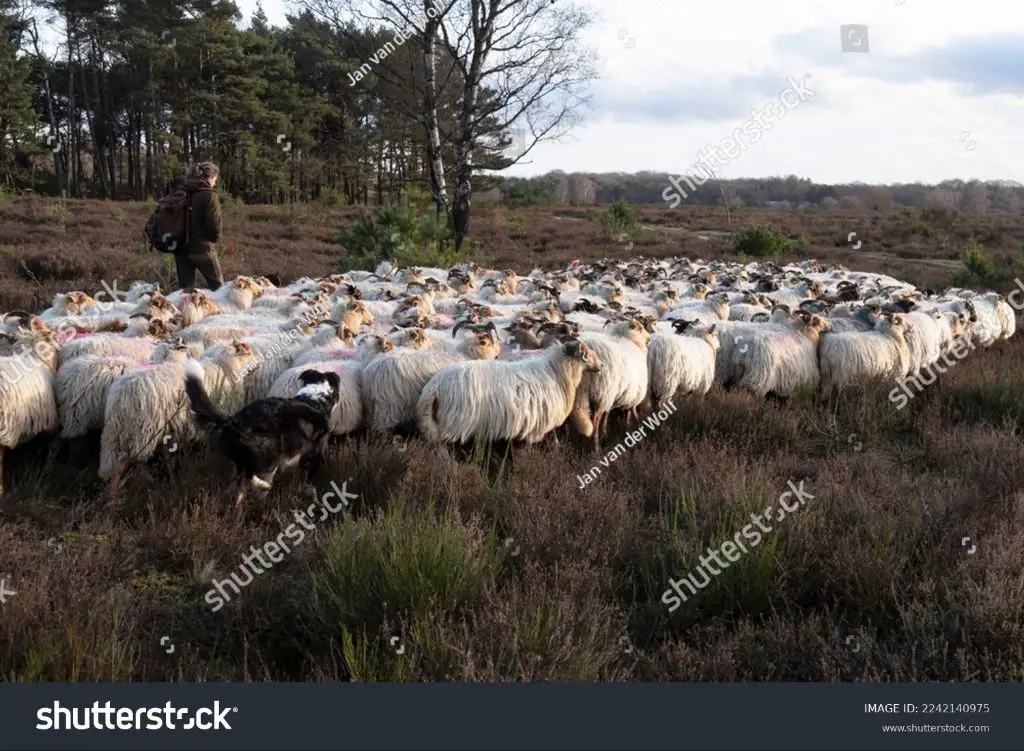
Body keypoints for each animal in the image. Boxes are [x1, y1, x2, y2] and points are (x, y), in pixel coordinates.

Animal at [186, 358, 342, 504]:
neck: (316, 398)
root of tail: (232, 422)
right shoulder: (315, 454)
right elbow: (310, 485)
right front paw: (316, 502)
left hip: (243, 458)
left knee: (241, 484)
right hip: (268, 452)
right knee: (253, 474)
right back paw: (263, 486)